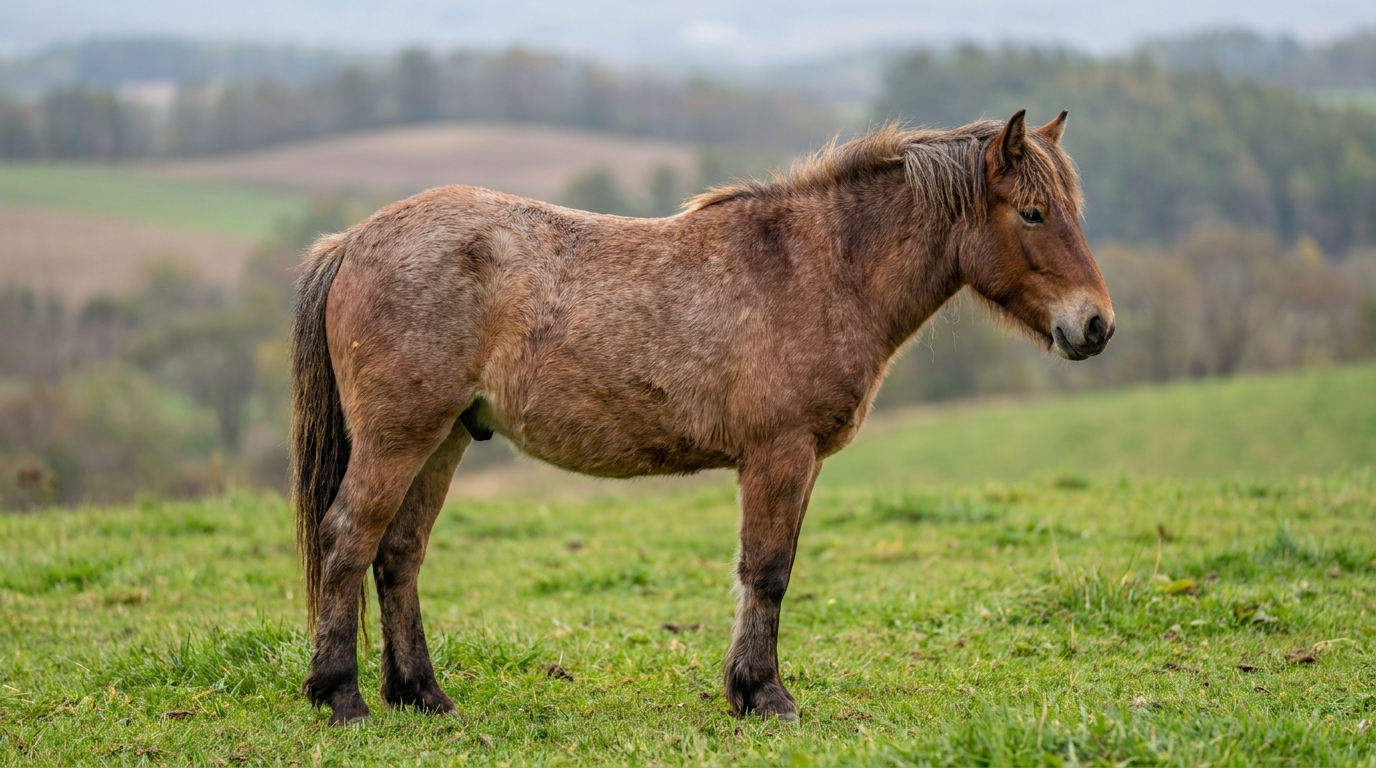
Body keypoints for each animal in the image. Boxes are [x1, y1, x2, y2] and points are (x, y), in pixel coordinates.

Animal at [289, 109, 1114, 726]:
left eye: (1074, 210)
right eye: (1033, 213)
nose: (1095, 325)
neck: (820, 269)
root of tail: (353, 241)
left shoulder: (797, 462)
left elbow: (772, 570)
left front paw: (750, 689)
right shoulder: (779, 455)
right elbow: (768, 572)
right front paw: (765, 696)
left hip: (445, 439)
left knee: (399, 555)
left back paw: (422, 695)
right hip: (399, 440)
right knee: (348, 540)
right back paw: (343, 697)